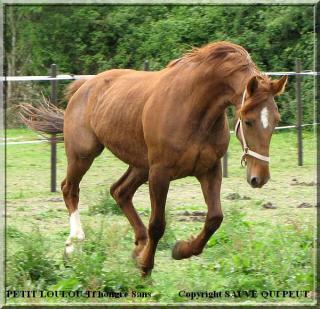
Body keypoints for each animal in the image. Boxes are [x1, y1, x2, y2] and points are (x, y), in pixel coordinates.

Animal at [21, 41, 288, 274]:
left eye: (276, 119)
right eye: (249, 120)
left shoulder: (210, 170)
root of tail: (84, 87)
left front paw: (181, 249)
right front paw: (146, 266)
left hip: (139, 165)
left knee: (119, 191)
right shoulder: (160, 173)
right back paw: (74, 244)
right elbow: (158, 224)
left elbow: (214, 218)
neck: (194, 107)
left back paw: (138, 245)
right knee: (70, 189)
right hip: (84, 154)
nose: (259, 178)